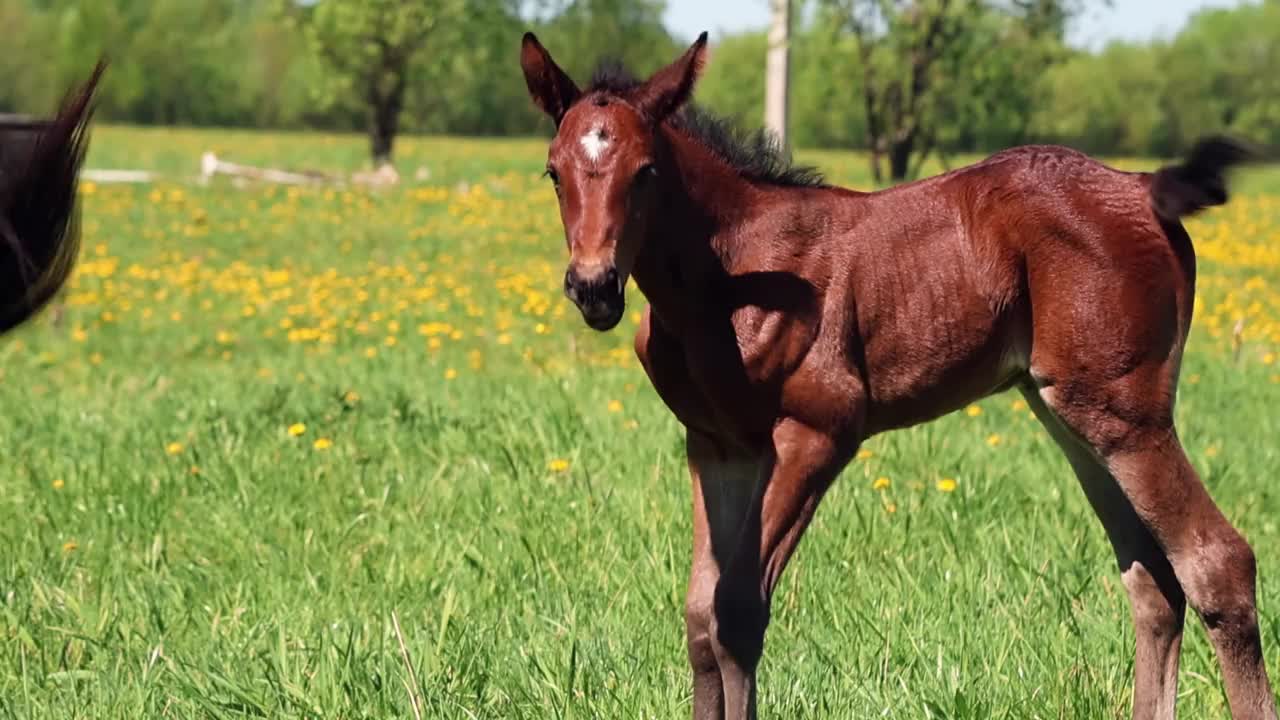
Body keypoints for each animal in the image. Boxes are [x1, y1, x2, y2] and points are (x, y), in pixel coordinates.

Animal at [522, 32, 1280, 712]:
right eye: (554, 171)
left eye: (646, 170)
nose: (594, 287)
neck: (732, 274)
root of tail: (1145, 187)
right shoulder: (718, 447)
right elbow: (700, 620)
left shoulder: (818, 431)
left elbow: (737, 610)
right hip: (1072, 413)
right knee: (1154, 579)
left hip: (1125, 414)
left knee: (1217, 563)